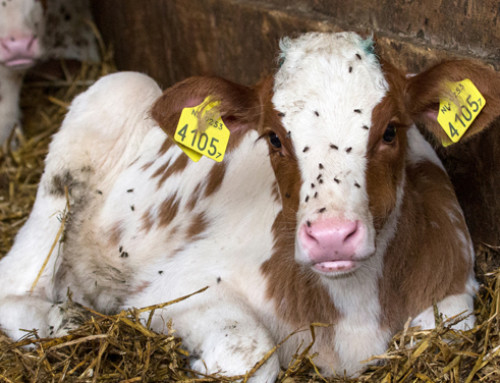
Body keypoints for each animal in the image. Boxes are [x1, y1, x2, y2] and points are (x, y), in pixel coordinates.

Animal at [0, 33, 500, 380]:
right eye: (274, 138)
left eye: (391, 130)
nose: (331, 237)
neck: (352, 309)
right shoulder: (171, 292)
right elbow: (251, 358)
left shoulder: (453, 283)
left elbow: (447, 325)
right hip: (106, 107)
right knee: (17, 282)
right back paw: (64, 319)